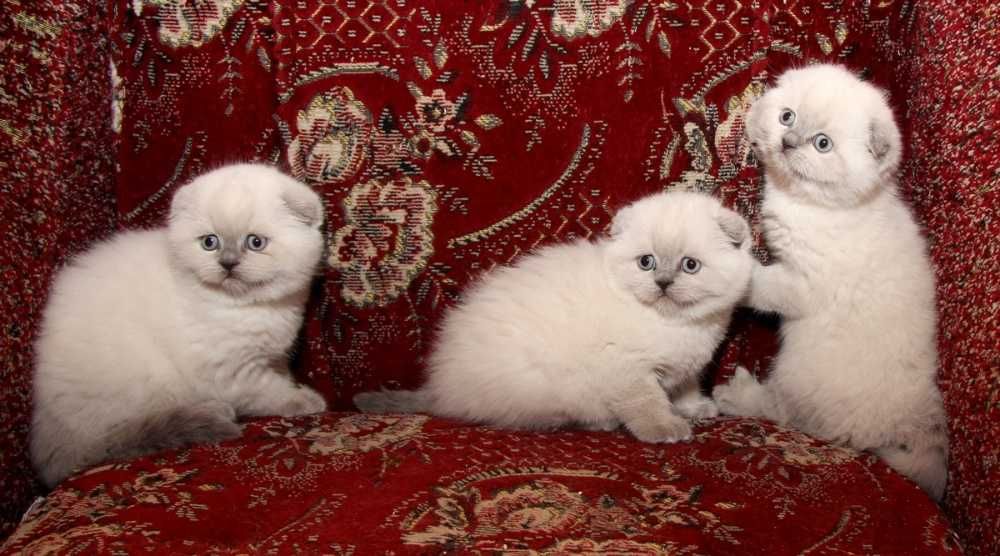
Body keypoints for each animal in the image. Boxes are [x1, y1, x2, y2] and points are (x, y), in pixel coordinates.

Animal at [30, 163, 328, 484]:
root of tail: (52, 441)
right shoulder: (233, 373)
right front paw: (307, 401)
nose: (228, 263)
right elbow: (271, 392)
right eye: (210, 242)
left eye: (255, 242)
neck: (251, 308)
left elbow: (281, 377)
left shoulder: (273, 357)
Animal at [356, 193, 752, 446]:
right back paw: (603, 421)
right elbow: (647, 403)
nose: (663, 283)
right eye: (646, 262)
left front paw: (696, 408)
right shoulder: (626, 368)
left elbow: (687, 386)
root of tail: (440, 389)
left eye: (690, 265)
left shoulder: (686, 366)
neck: (676, 325)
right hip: (547, 385)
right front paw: (666, 428)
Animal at [716, 64, 948, 500]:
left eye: (822, 144)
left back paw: (735, 395)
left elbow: (761, 284)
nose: (789, 141)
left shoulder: (802, 283)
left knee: (782, 412)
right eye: (787, 116)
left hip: (797, 373)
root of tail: (911, 414)